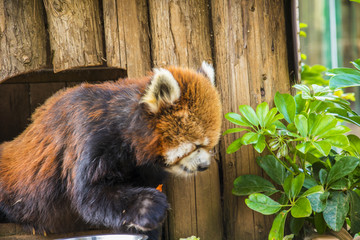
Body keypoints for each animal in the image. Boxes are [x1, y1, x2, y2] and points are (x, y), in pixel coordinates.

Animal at [0, 61, 222, 238]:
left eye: (210, 145)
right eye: (196, 145)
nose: (204, 166)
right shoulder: (91, 137)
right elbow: (91, 195)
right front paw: (148, 206)